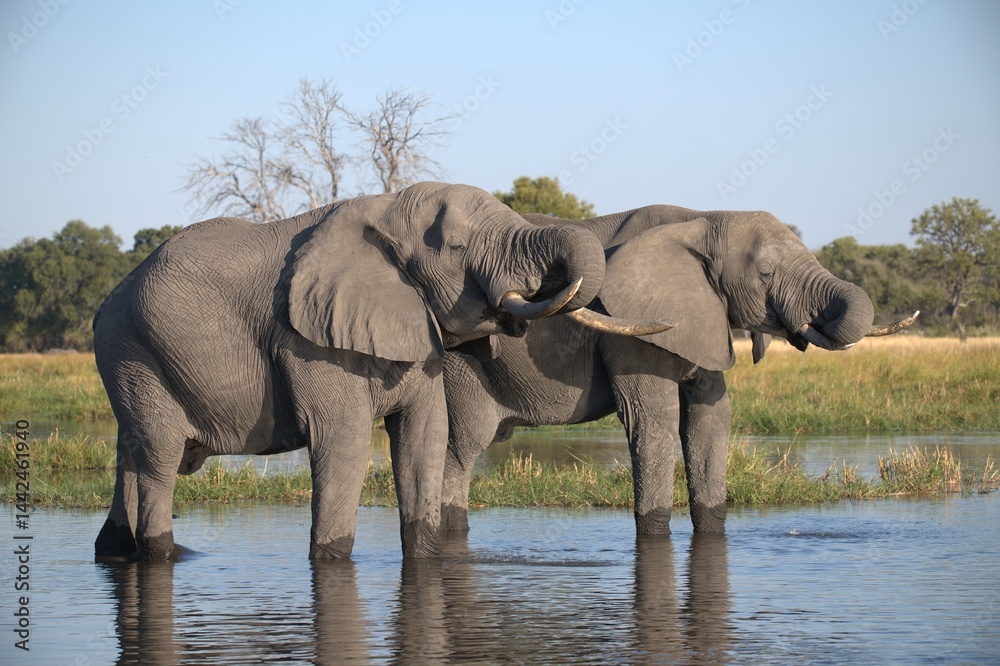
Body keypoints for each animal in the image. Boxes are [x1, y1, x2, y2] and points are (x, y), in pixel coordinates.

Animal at [92, 182, 667, 562]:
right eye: (457, 246)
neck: (387, 209)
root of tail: (109, 300)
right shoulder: (308, 339)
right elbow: (343, 443)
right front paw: (330, 562)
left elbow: (425, 438)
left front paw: (428, 559)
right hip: (135, 355)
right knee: (160, 459)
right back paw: (164, 553)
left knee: (132, 454)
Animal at [441, 205, 917, 534]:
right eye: (765, 274)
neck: (703, 218)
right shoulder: (631, 327)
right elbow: (655, 420)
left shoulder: (705, 317)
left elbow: (710, 419)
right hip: (457, 368)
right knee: (461, 448)